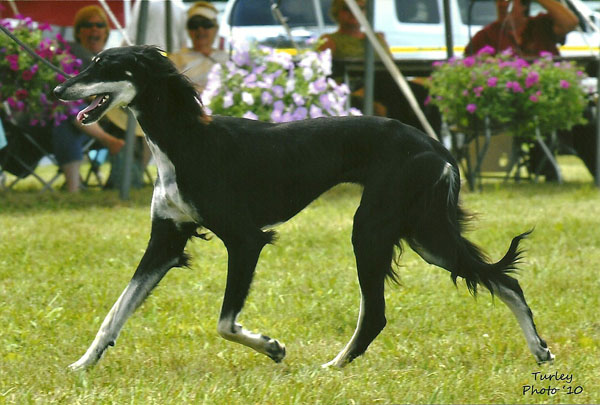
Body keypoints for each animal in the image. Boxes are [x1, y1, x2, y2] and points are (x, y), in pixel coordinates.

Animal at [54, 45, 556, 370]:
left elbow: (225, 322)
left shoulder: (245, 239)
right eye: (91, 60)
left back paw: (335, 366)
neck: (185, 140)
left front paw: (271, 347)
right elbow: (116, 311)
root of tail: (435, 144)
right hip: (419, 231)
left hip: (375, 227)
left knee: (385, 310)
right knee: (500, 280)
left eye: (104, 64)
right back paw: (537, 349)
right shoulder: (167, 239)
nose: (59, 89)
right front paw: (82, 366)